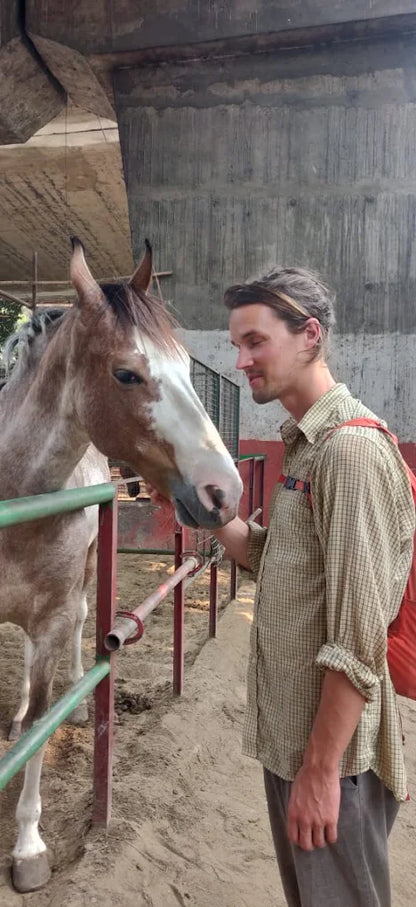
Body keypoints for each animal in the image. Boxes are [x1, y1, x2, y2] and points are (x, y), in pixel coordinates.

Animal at [0, 237, 242, 893]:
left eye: (186, 366)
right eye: (127, 373)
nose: (225, 491)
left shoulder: (53, 618)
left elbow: (40, 725)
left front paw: (29, 848)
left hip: (76, 590)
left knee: (73, 635)